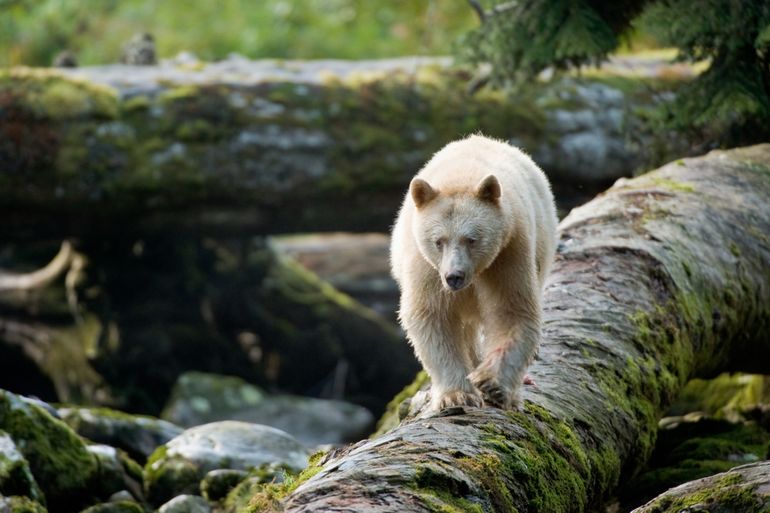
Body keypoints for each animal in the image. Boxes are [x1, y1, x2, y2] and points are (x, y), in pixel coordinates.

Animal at [390, 134, 552, 410]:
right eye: (438, 241)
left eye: (472, 239)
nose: (454, 276)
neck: (461, 176)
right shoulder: (426, 266)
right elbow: (432, 315)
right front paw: (457, 394)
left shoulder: (508, 253)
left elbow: (512, 309)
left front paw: (491, 383)